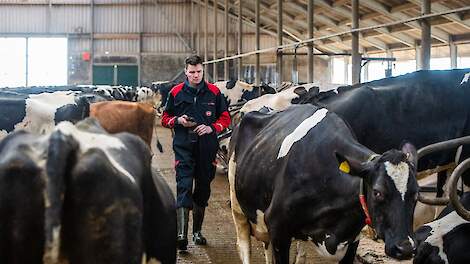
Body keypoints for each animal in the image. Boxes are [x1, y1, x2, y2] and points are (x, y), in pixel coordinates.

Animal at [229, 104, 416, 262]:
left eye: (416, 195)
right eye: (377, 192)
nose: (405, 248)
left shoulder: (353, 240)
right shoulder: (277, 228)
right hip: (237, 206)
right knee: (243, 246)